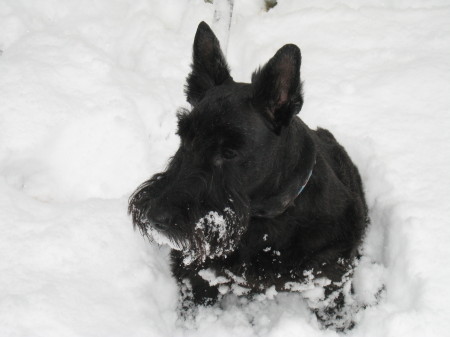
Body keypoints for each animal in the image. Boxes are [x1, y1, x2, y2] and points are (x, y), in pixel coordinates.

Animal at [128, 21, 368, 328]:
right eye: (184, 136)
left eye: (230, 151)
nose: (157, 217)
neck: (262, 222)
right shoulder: (196, 275)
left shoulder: (328, 283)